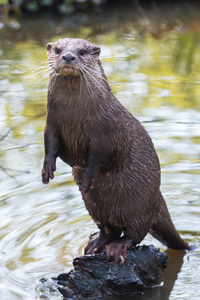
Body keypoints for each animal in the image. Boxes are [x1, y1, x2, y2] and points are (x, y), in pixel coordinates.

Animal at [41, 37, 189, 262]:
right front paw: (47, 169)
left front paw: (88, 178)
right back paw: (96, 243)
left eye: (82, 51)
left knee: (134, 234)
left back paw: (117, 247)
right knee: (109, 229)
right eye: (57, 50)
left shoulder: (107, 131)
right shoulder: (51, 123)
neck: (74, 117)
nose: (68, 56)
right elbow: (50, 145)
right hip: (95, 208)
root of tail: (157, 200)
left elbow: (101, 157)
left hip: (141, 207)